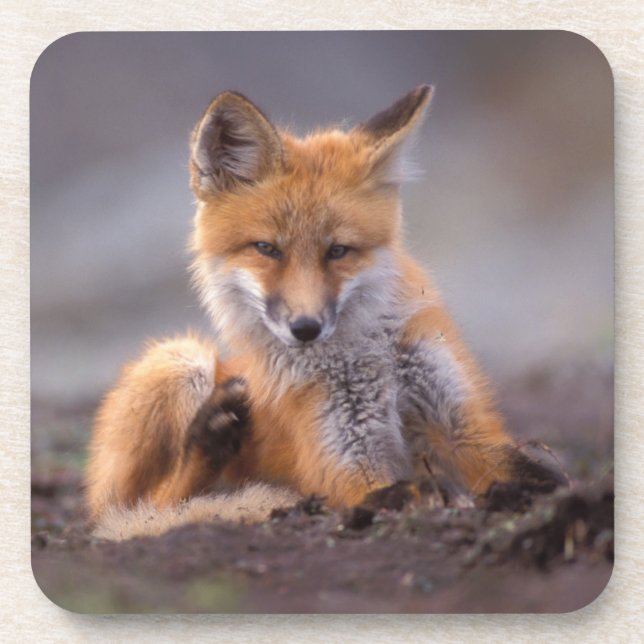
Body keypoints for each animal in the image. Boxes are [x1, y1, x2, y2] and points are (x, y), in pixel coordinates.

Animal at [86, 85, 564, 540]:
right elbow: (395, 491)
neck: (366, 357)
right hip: (179, 360)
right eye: (267, 249)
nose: (305, 328)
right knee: (147, 506)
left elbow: (532, 470)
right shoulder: (345, 462)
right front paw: (437, 495)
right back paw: (208, 442)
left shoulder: (463, 426)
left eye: (338, 251)